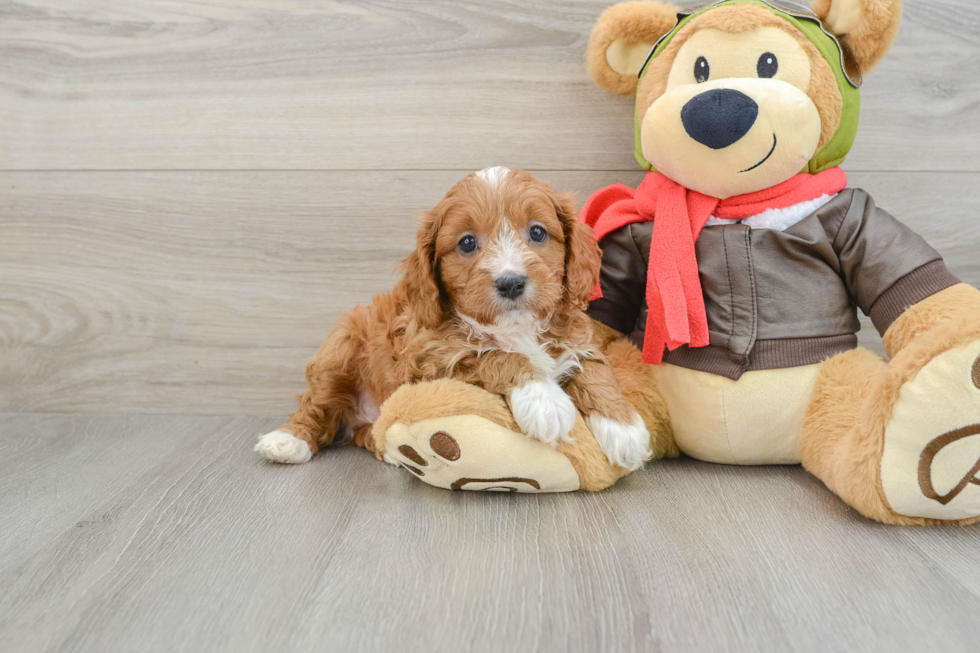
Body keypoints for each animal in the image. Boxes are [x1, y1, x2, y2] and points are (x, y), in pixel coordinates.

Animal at [256, 167, 652, 468]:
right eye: (467, 243)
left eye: (538, 232)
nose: (511, 283)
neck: (515, 328)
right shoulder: (428, 363)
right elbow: (495, 356)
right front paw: (544, 400)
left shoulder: (576, 338)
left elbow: (595, 368)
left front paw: (624, 428)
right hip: (339, 348)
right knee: (317, 407)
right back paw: (286, 441)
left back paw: (388, 448)